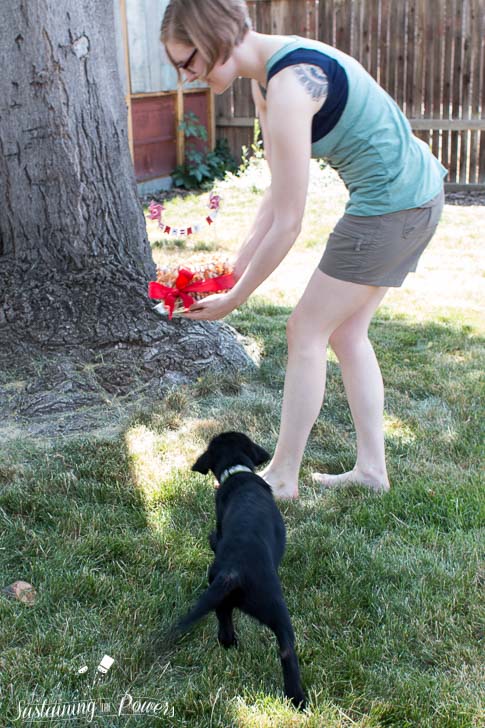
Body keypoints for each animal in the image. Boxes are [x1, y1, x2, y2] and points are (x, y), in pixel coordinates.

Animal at [168, 430, 304, 708]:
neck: (237, 471)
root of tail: (234, 571)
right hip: (275, 609)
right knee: (286, 650)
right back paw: (297, 697)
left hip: (228, 594)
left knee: (226, 620)